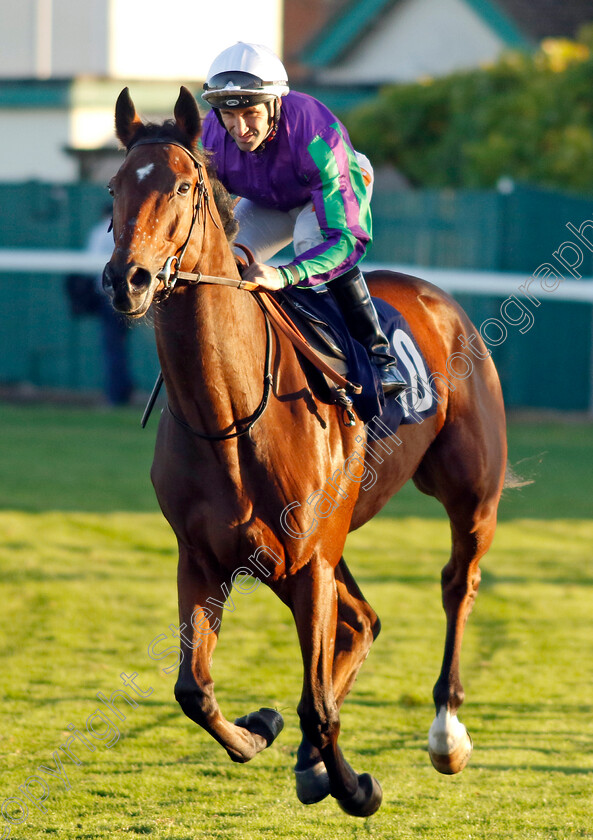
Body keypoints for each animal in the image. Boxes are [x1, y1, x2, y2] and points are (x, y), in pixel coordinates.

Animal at [100, 88, 504, 816]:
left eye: (181, 185)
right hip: (327, 540)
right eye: (114, 187)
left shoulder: (307, 559)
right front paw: (260, 730)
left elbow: (316, 705)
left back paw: (445, 731)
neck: (229, 414)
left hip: (467, 493)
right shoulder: (203, 559)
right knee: (362, 622)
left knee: (457, 584)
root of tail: (437, 299)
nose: (129, 279)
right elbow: (192, 689)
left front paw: (355, 786)